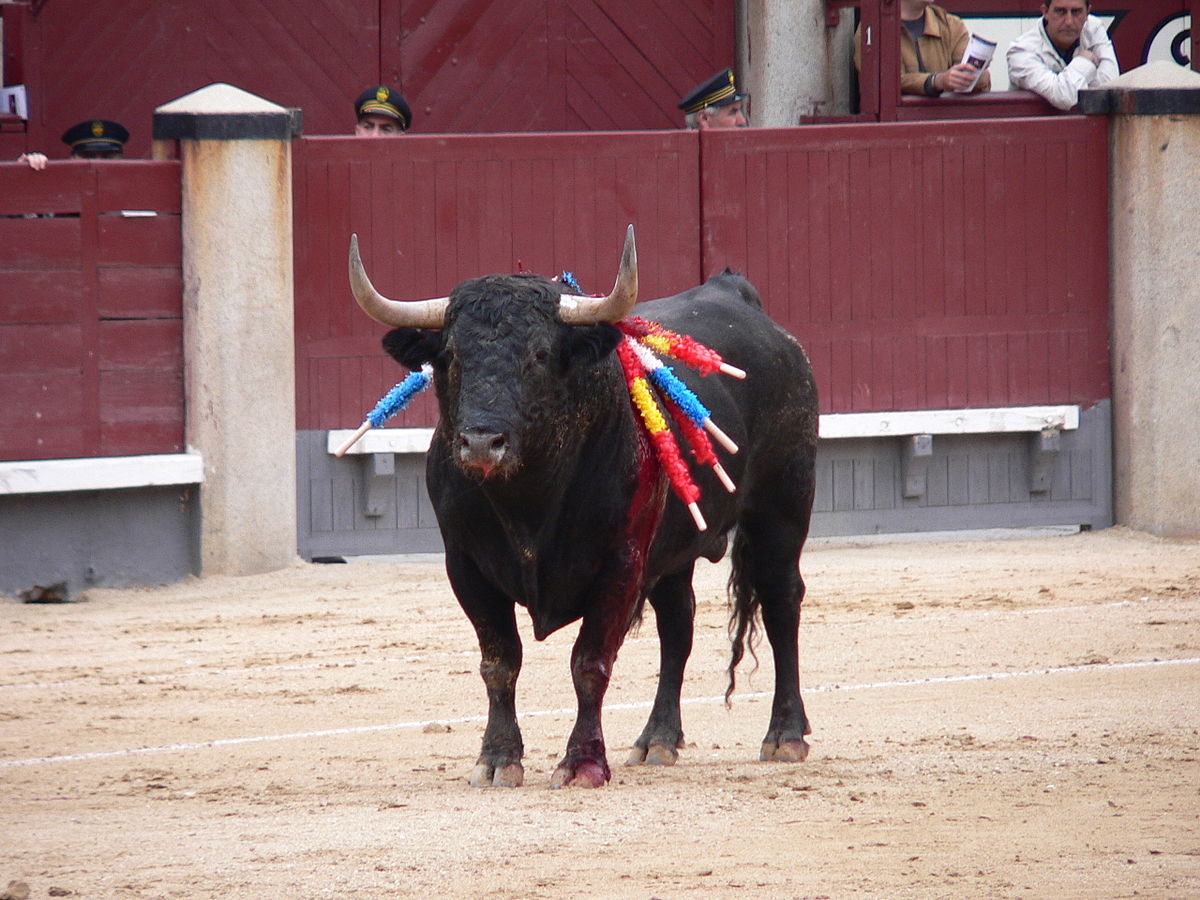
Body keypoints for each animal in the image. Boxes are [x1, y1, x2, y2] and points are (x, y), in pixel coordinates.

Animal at [350, 232, 820, 787]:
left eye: (540, 353)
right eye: (450, 356)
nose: (482, 443)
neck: (528, 500)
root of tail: (743, 301)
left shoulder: (620, 564)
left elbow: (589, 664)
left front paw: (583, 763)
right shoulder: (465, 566)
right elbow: (499, 662)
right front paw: (498, 758)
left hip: (783, 506)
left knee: (781, 601)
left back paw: (785, 734)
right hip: (675, 551)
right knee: (677, 626)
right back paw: (657, 740)